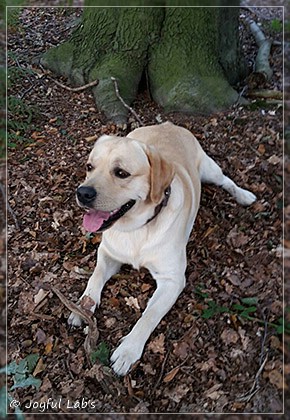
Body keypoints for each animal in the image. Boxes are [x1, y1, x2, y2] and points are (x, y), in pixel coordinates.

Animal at [68, 120, 256, 374]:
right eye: (89, 167)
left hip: (210, 170)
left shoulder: (172, 279)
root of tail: (168, 124)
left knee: (226, 179)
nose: (82, 193)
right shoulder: (108, 253)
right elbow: (95, 277)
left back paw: (244, 195)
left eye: (121, 173)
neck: (139, 228)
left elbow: (149, 315)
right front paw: (82, 307)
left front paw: (128, 351)